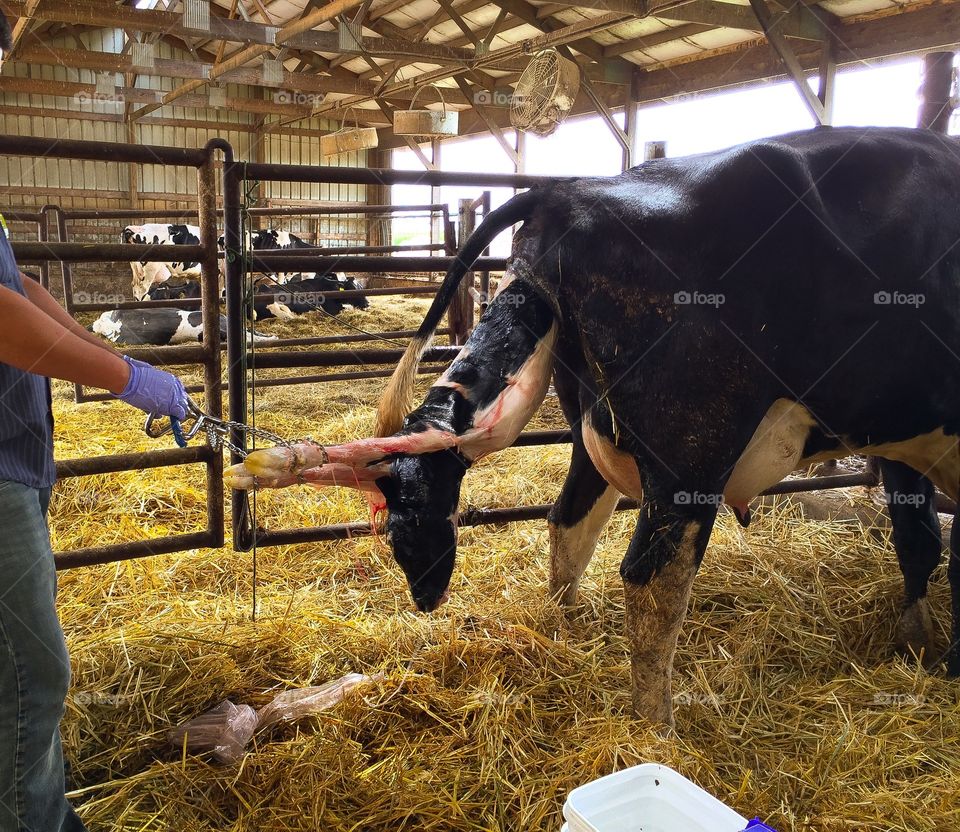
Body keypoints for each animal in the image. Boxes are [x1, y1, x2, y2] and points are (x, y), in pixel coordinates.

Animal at [225, 126, 960, 727]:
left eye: (403, 529)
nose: (426, 597)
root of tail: (569, 194)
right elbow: (928, 542)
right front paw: (934, 651)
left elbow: (917, 538)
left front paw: (918, 639)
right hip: (692, 447)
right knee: (650, 576)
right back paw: (658, 728)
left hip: (590, 423)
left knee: (569, 519)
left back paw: (565, 626)